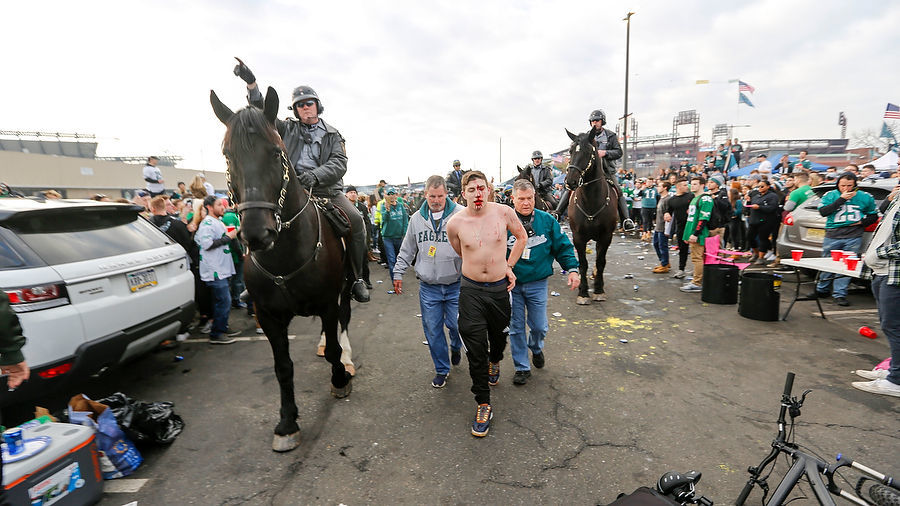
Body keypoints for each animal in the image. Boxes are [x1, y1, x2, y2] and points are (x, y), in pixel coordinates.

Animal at [210, 86, 352, 450]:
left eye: (276, 153)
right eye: (227, 155)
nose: (256, 234)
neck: (285, 255)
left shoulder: (328, 303)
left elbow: (334, 346)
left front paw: (340, 379)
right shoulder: (268, 316)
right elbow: (283, 367)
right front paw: (287, 422)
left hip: (346, 289)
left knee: (344, 322)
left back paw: (346, 358)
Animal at [564, 128, 620, 306]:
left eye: (588, 152)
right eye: (570, 150)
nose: (570, 181)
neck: (591, 201)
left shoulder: (606, 236)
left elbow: (600, 262)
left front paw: (598, 290)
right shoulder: (578, 237)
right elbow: (583, 263)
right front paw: (583, 292)